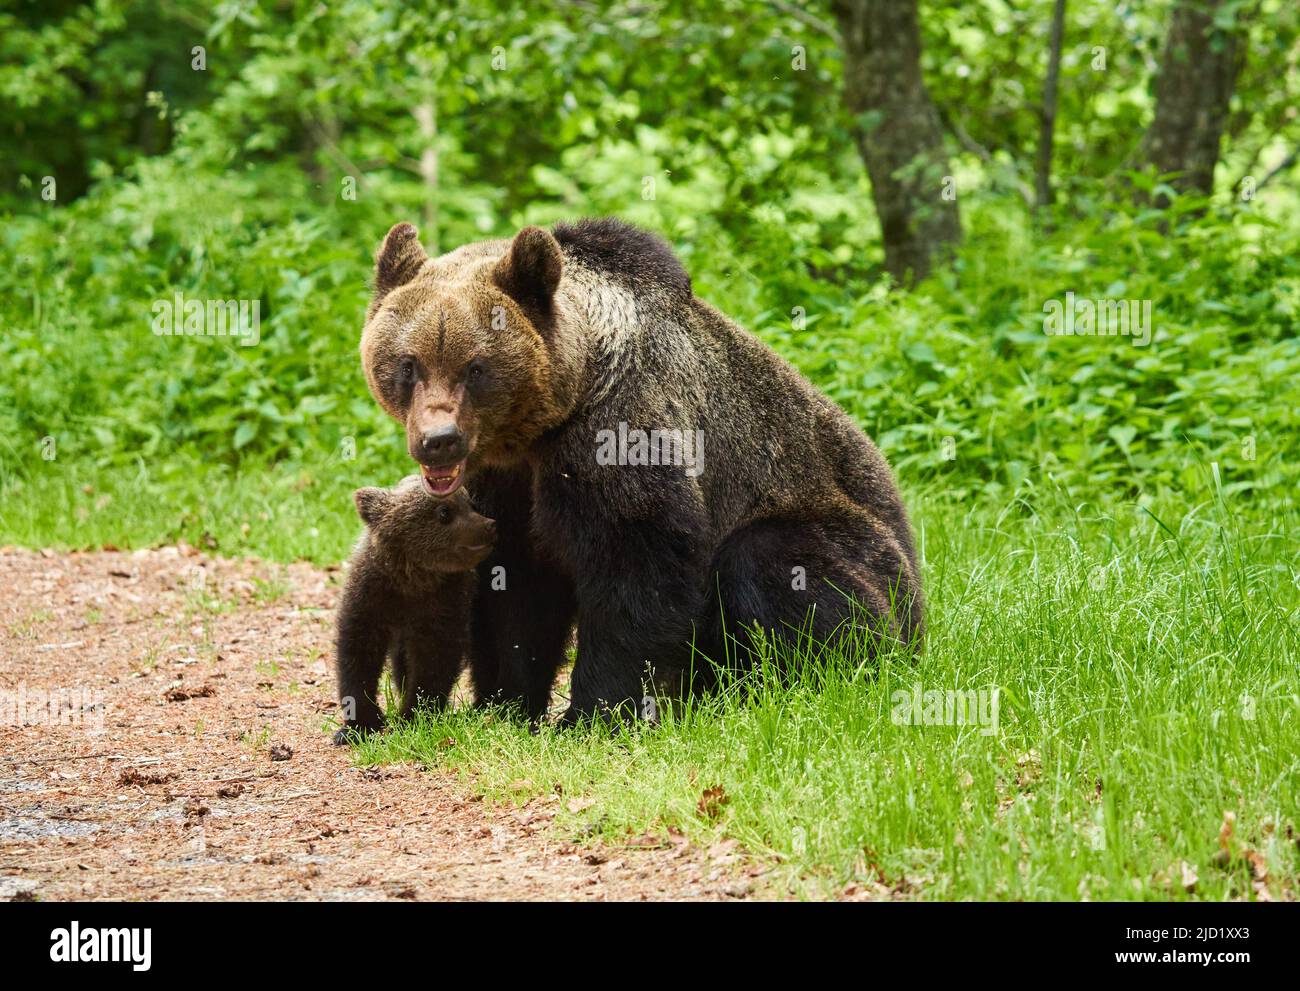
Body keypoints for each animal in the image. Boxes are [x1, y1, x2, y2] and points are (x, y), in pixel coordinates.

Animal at [332, 476, 496, 744]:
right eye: (444, 512)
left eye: (470, 504)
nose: (490, 525)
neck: (413, 579)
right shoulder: (370, 595)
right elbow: (357, 653)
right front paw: (360, 725)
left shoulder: (444, 603)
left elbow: (434, 660)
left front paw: (413, 716)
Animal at [359, 217, 923, 724]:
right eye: (408, 363)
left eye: (475, 367)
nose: (439, 441)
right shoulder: (503, 485)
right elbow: (513, 587)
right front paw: (508, 703)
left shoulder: (617, 433)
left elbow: (635, 564)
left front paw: (593, 712)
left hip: (862, 551)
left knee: (771, 560)